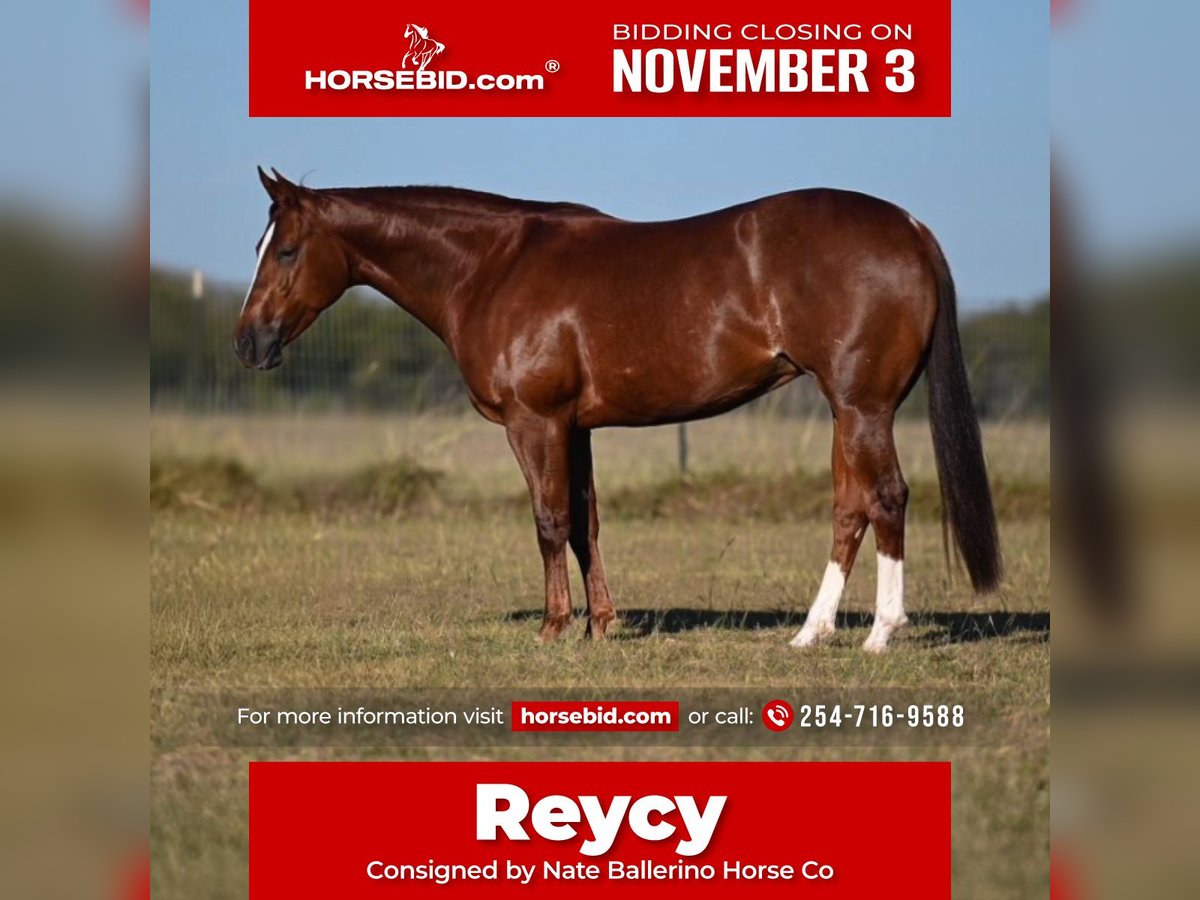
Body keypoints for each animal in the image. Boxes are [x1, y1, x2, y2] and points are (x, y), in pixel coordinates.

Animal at [235, 168, 1002, 652]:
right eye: (261, 245)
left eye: (288, 250)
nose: (249, 342)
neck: (491, 266)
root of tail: (908, 227)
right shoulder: (576, 428)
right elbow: (586, 525)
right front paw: (600, 624)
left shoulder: (536, 422)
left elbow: (550, 522)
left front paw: (553, 629)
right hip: (849, 413)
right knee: (850, 509)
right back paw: (811, 634)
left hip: (863, 407)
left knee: (887, 499)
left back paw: (880, 634)